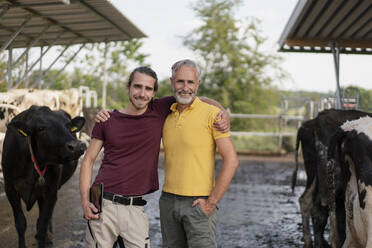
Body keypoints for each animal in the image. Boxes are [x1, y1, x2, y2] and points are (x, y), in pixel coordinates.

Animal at [1, 106, 85, 248]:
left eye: (68, 126)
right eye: (41, 128)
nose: (78, 146)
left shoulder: (50, 190)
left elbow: (42, 224)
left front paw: (43, 236)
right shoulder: (10, 188)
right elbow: (20, 223)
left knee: (47, 215)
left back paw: (48, 236)